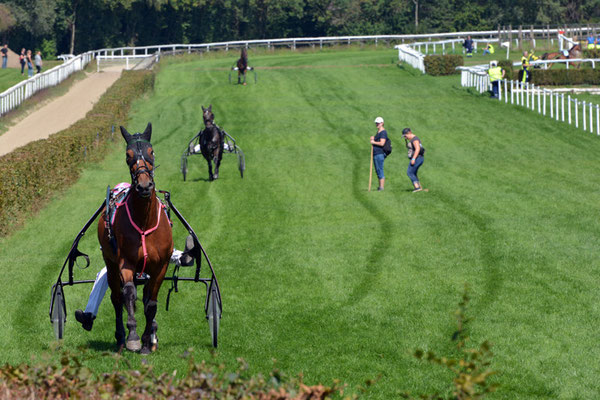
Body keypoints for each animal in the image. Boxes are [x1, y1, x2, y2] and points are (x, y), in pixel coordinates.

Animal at [98, 122, 173, 354]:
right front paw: (133, 337)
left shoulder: (161, 265)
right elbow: (129, 293)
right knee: (117, 297)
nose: (144, 185)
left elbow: (151, 303)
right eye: (128, 155)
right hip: (110, 263)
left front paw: (148, 341)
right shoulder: (126, 262)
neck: (143, 222)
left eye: (152, 152)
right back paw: (121, 338)